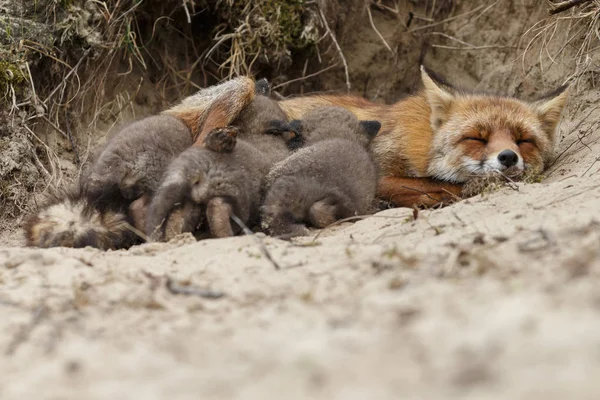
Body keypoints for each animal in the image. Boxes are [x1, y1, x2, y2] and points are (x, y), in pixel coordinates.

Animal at [166, 67, 568, 208]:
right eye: (477, 138)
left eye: (523, 141)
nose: (508, 158)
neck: (424, 142)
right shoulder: (379, 171)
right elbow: (434, 186)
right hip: (242, 85)